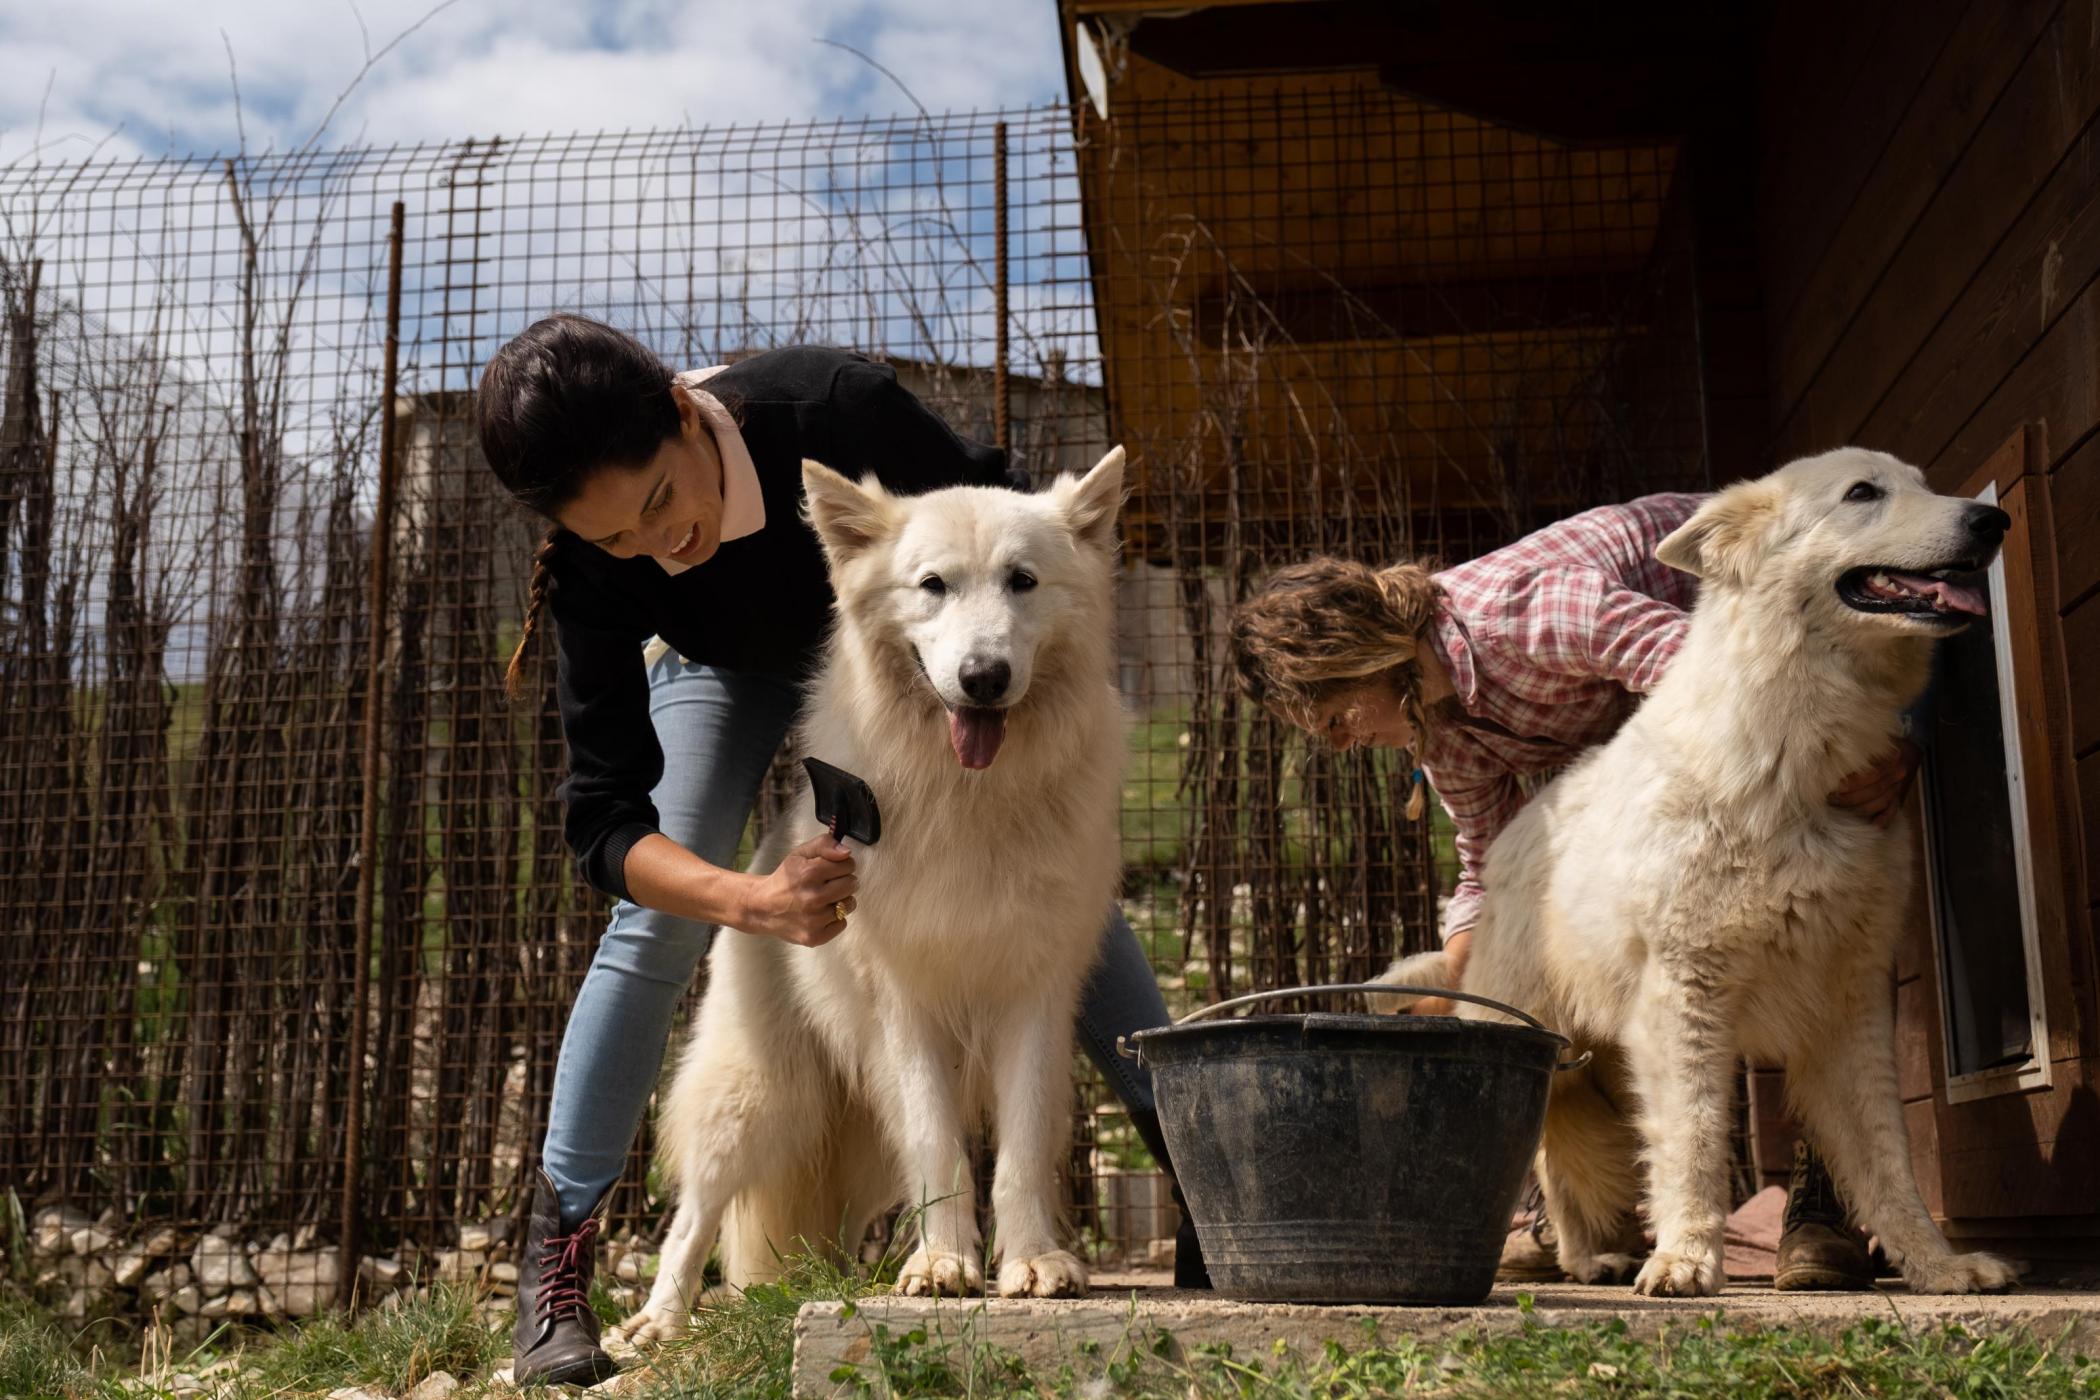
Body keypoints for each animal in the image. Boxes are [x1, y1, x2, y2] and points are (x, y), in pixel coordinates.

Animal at [613, 449, 1125, 1343]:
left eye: (1022, 581)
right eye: (933, 585)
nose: (984, 679)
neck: (968, 800)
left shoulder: (1033, 998)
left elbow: (1021, 1149)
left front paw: (1030, 1262)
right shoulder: (905, 1008)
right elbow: (937, 1142)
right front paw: (945, 1267)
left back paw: (835, 1280)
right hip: (761, 1094)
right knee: (696, 1210)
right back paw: (659, 1322)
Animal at [1377, 451, 2015, 1301]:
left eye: (1922, 481)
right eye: (1862, 493)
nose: (1990, 521)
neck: (1799, 760)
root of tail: (1503, 844)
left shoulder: (1849, 1004)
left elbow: (1889, 1157)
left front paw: (1939, 1267)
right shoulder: (1686, 997)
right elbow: (1696, 1137)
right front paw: (1684, 1260)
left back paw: (1592, 1257)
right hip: (1535, 1048)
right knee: (1543, 1153)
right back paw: (1584, 1260)